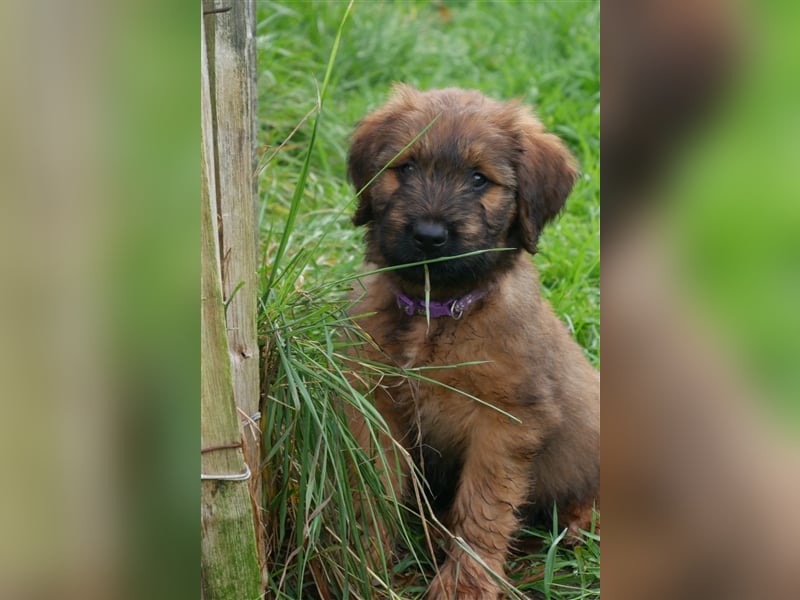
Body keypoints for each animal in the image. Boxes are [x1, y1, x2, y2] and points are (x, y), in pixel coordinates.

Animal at [346, 85, 596, 600]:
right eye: (406, 168)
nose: (429, 235)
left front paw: (464, 584)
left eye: (480, 179)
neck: (434, 311)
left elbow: (483, 507)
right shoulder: (377, 406)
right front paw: (363, 564)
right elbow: (373, 491)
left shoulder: (506, 421)